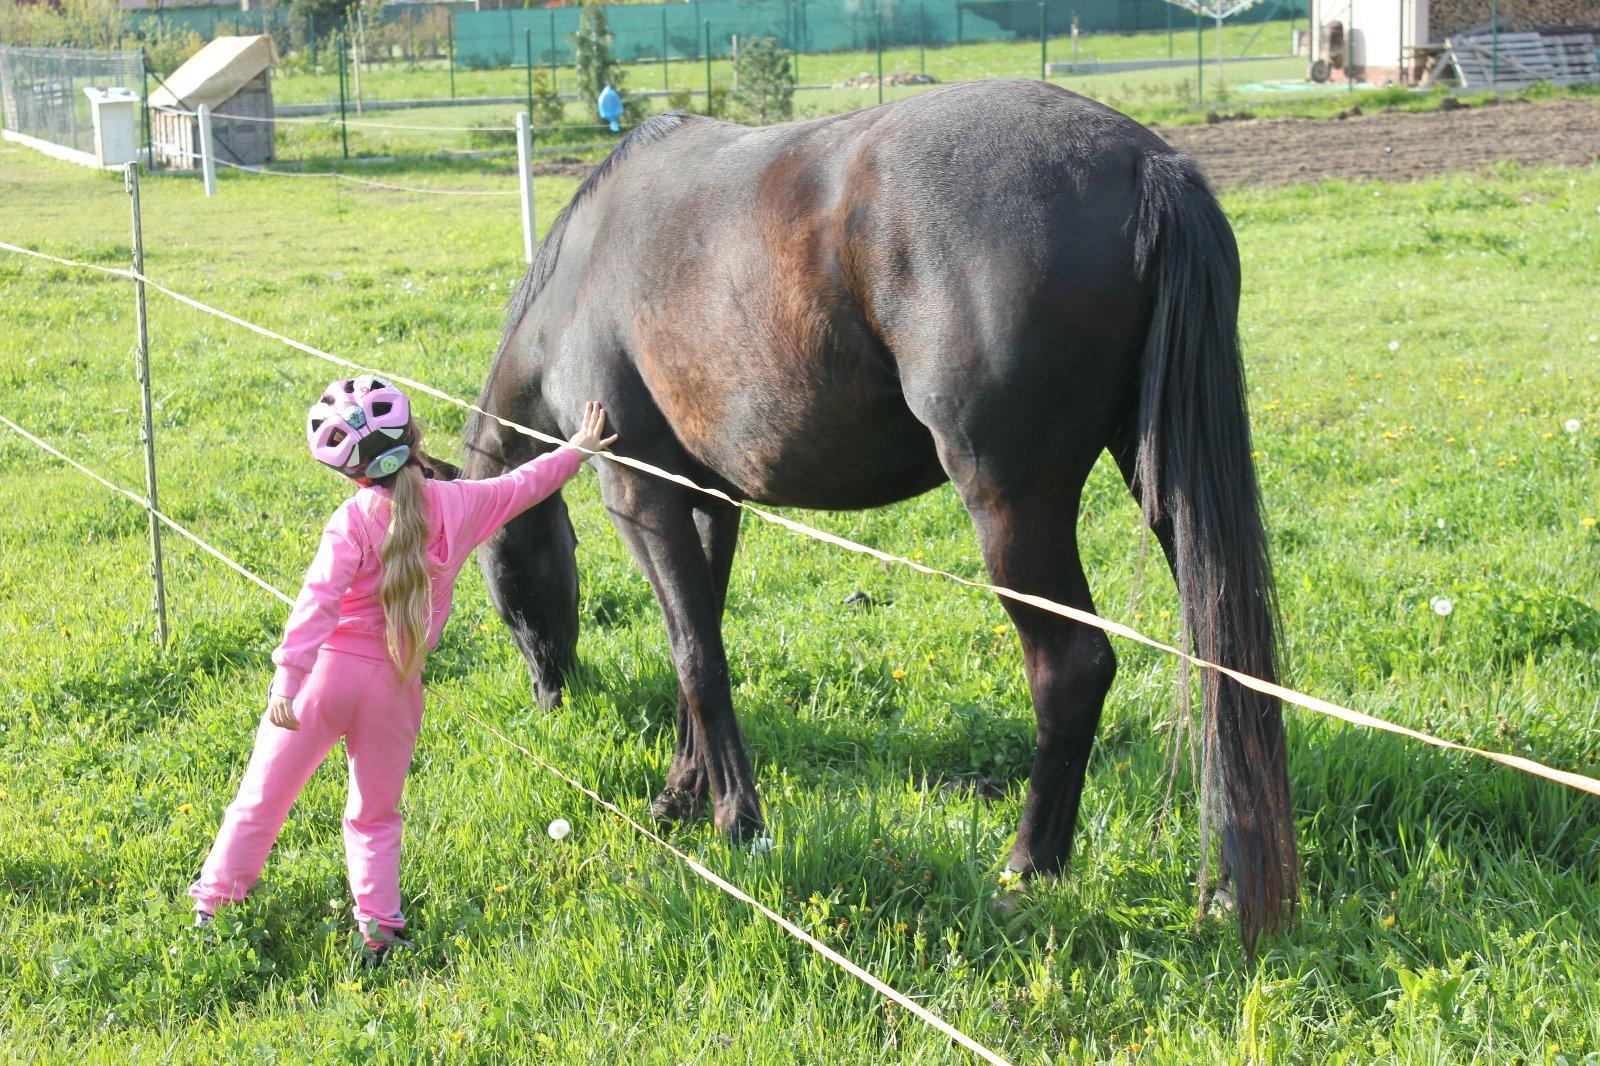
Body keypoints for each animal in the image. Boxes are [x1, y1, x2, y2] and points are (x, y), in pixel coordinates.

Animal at [463, 78, 1297, 953]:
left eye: (492, 566)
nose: (549, 692)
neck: (577, 283)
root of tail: (1145, 163)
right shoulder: (710, 503)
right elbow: (703, 638)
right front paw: (683, 794)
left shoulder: (642, 496)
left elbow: (694, 655)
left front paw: (737, 822)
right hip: (1159, 477)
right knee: (1224, 650)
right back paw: (1231, 880)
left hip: (1012, 508)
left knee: (1073, 669)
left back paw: (1025, 870)